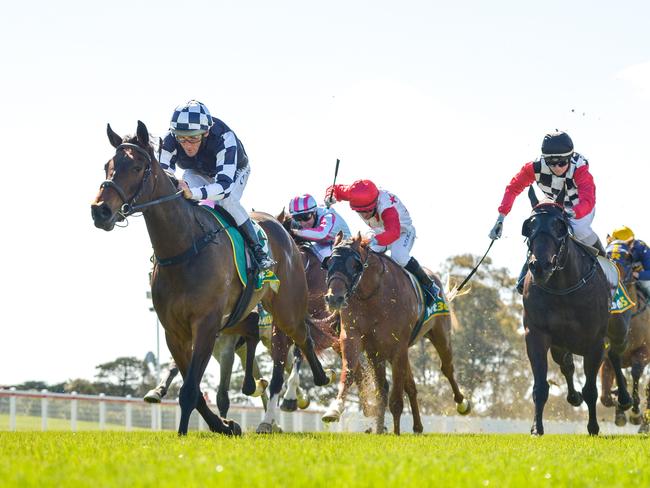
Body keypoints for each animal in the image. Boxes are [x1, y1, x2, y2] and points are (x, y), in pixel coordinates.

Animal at [90, 121, 330, 434]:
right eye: (108, 165)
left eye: (138, 166)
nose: (100, 210)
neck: (185, 248)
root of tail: (284, 230)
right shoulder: (175, 332)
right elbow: (195, 390)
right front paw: (224, 425)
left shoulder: (206, 324)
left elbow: (191, 389)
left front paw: (186, 433)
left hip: (286, 310)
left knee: (302, 339)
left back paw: (312, 384)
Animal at [318, 233, 466, 434]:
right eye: (330, 262)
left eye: (355, 265)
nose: (334, 298)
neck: (373, 295)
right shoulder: (358, 341)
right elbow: (353, 374)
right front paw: (335, 410)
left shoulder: (397, 347)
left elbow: (395, 398)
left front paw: (395, 433)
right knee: (410, 386)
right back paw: (417, 426)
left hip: (440, 335)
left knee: (447, 368)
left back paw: (462, 403)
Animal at [520, 186, 628, 434]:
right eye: (529, 226)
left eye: (559, 226)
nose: (540, 266)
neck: (563, 288)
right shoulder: (536, 334)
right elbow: (541, 386)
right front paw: (536, 428)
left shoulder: (595, 341)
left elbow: (591, 389)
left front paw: (593, 427)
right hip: (560, 345)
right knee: (567, 365)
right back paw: (573, 396)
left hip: (619, 330)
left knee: (615, 354)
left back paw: (625, 398)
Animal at [596, 239, 648, 430]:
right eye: (608, 254)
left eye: (628, 257)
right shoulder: (605, 356)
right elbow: (605, 395)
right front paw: (619, 407)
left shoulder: (644, 351)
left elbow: (635, 373)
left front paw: (635, 413)